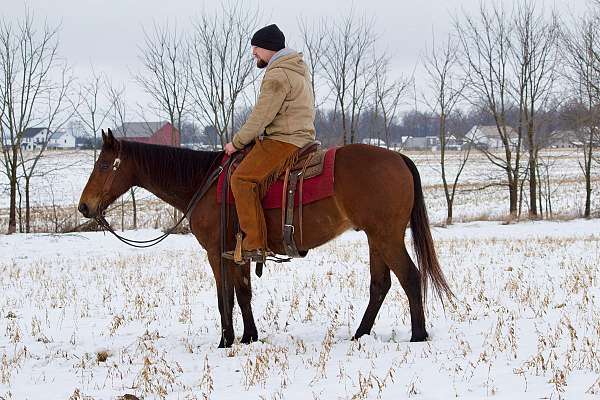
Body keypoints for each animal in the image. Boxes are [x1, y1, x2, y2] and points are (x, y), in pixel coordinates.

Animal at [78, 130, 450, 346]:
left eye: (103, 164)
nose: (84, 206)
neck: (204, 183)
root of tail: (398, 157)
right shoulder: (239, 253)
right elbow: (243, 294)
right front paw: (249, 337)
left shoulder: (216, 252)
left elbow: (225, 298)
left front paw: (226, 342)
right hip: (376, 238)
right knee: (380, 284)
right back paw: (360, 335)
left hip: (386, 237)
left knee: (410, 277)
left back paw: (418, 336)